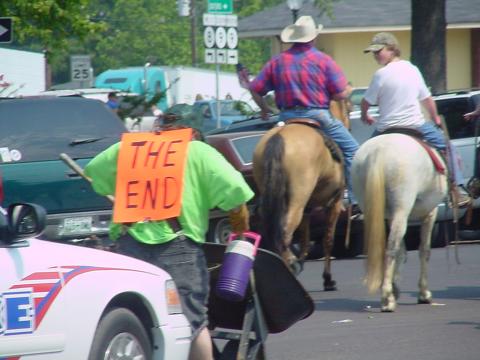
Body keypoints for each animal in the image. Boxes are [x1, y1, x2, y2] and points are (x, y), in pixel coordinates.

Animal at [253, 121, 344, 290]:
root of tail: (279, 135)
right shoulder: (334, 203)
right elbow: (328, 240)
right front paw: (327, 279)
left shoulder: (307, 211)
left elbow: (304, 240)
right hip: (297, 201)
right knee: (285, 233)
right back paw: (290, 265)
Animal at [350, 134, 448, 310]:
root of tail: (379, 151)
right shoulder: (430, 213)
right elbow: (424, 250)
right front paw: (424, 294)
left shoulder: (391, 217)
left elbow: (403, 252)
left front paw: (395, 288)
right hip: (401, 210)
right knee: (391, 249)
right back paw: (386, 299)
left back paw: (389, 292)